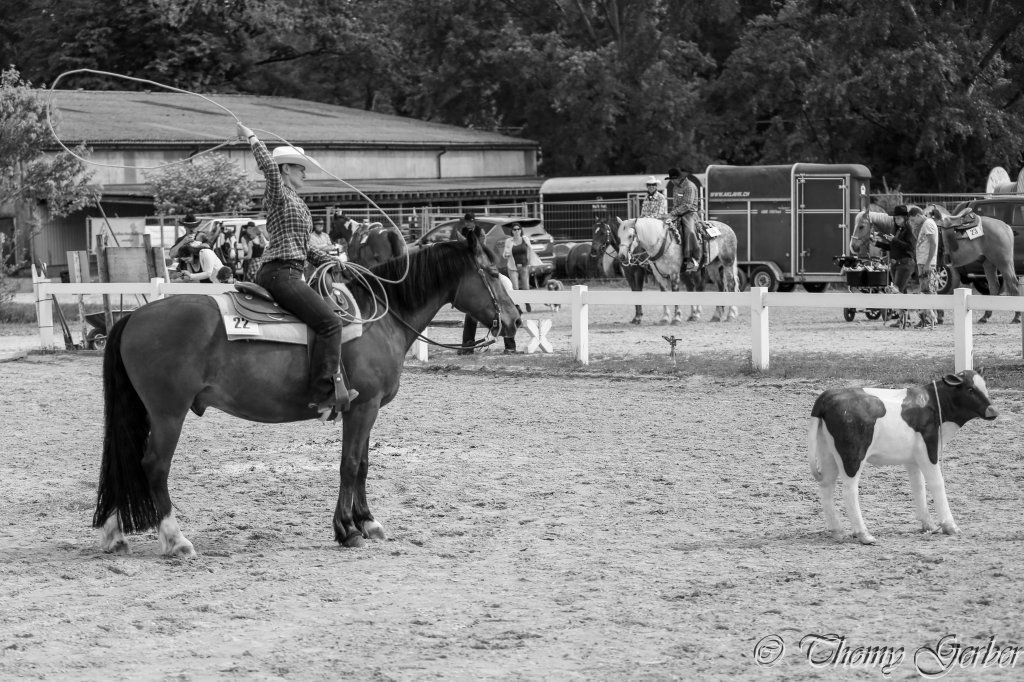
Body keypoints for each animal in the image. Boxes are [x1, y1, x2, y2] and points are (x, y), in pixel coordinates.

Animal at [93, 226, 520, 556]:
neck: (378, 317)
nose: (515, 318)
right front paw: (347, 530)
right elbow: (350, 465)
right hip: (168, 413)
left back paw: (114, 534)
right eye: (492, 272)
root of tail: (134, 316)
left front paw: (367, 522)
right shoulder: (364, 407)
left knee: (124, 460)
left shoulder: (364, 409)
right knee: (153, 465)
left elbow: (363, 464)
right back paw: (176, 539)